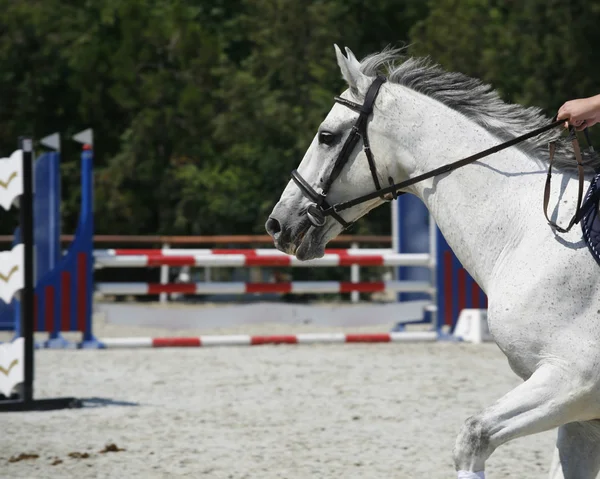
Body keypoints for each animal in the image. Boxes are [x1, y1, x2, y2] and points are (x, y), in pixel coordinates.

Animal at [268, 46, 600, 479]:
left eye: (327, 136)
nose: (278, 224)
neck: (531, 230)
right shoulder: (581, 419)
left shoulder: (573, 381)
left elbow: (473, 436)